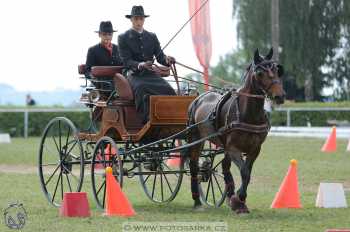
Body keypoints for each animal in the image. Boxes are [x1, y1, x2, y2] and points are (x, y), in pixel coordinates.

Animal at [187, 48, 286, 214]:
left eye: (277, 70)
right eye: (260, 73)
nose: (280, 96)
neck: (248, 114)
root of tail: (199, 97)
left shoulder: (255, 149)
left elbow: (247, 173)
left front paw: (239, 199)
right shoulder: (234, 148)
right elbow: (244, 172)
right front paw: (239, 200)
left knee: (225, 167)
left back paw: (228, 194)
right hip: (195, 139)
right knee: (194, 165)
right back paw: (197, 201)